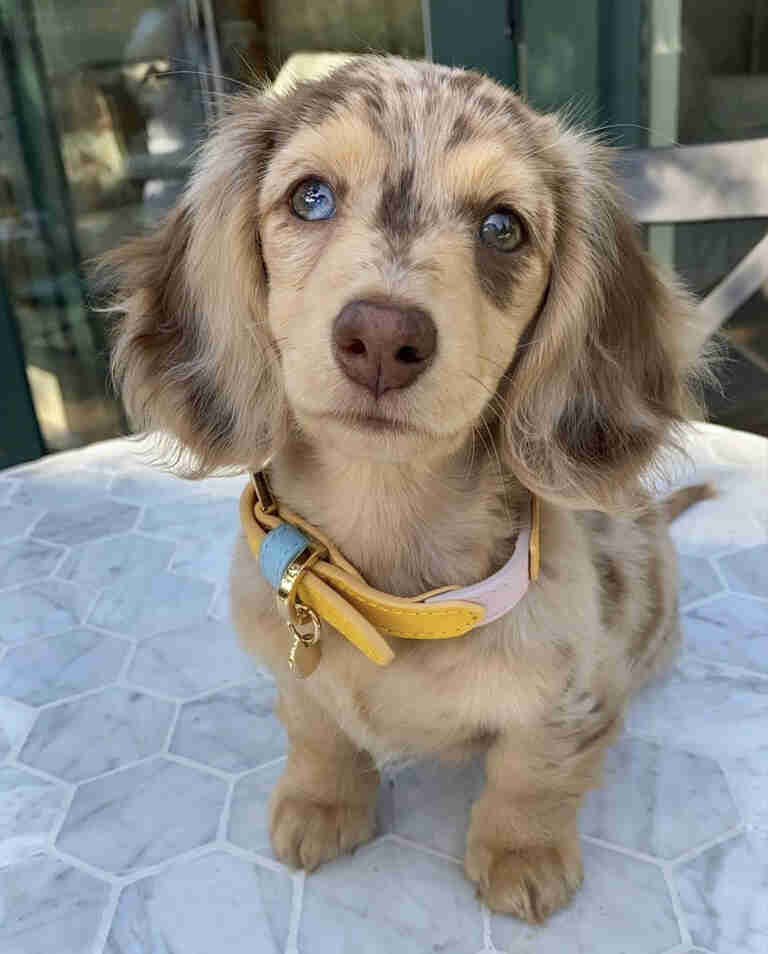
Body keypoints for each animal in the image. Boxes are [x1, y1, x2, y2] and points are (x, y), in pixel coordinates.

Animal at [102, 57, 708, 924]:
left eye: (503, 227)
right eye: (310, 196)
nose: (383, 337)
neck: (386, 589)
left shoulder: (573, 695)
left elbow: (533, 772)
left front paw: (521, 852)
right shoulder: (292, 674)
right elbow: (317, 731)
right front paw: (323, 801)